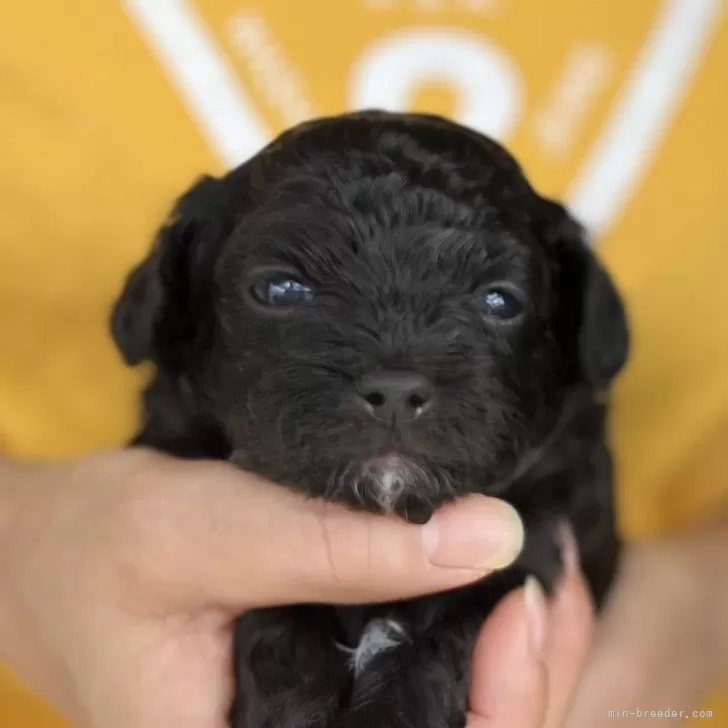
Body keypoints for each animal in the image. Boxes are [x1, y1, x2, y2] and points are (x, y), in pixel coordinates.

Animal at [111, 109, 628, 728]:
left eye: (501, 301)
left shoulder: (530, 538)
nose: (397, 390)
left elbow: (445, 628)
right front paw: (293, 707)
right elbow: (280, 628)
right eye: (280, 289)